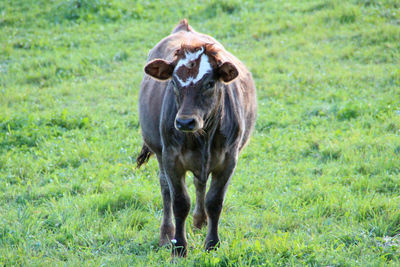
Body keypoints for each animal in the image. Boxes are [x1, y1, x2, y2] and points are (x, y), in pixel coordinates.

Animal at [137, 19, 256, 258]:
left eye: (210, 83)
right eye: (173, 83)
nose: (184, 122)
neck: (203, 137)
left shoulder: (229, 160)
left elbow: (214, 201)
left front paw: (212, 243)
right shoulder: (171, 159)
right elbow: (179, 202)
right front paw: (179, 247)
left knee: (200, 184)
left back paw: (200, 221)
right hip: (159, 152)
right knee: (165, 190)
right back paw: (166, 235)